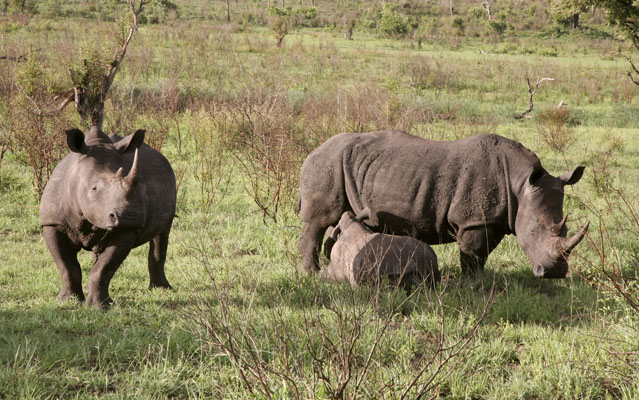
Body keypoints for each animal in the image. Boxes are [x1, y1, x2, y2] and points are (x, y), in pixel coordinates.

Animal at [40, 127, 176, 310]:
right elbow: (67, 267)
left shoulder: (126, 230)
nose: (128, 216)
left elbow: (104, 268)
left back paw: (161, 289)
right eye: (94, 188)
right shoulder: (52, 223)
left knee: (162, 234)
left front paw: (100, 306)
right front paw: (67, 301)